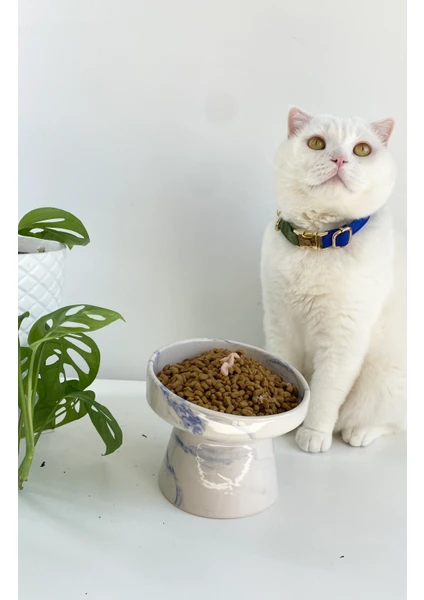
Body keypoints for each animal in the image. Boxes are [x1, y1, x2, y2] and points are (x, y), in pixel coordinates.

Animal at [261, 107, 406, 452]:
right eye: (316, 143)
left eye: (362, 149)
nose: (339, 159)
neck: (317, 244)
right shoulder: (279, 324)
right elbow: (284, 366)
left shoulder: (343, 339)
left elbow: (325, 394)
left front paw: (312, 433)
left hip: (386, 386)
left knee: (393, 423)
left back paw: (359, 433)